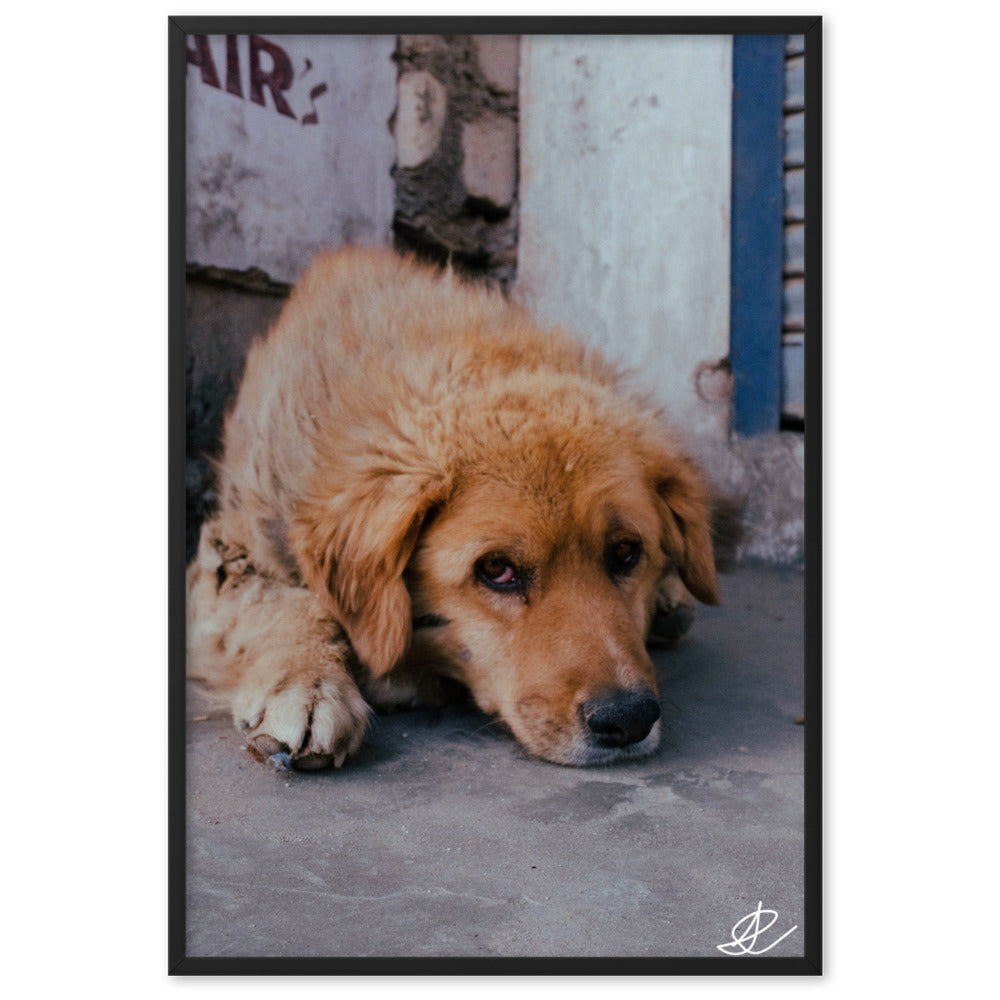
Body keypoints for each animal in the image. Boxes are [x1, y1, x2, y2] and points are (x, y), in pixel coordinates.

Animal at [186, 246, 720, 768]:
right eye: (497, 570)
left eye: (626, 553)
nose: (629, 718)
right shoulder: (231, 552)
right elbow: (287, 605)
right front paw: (308, 684)